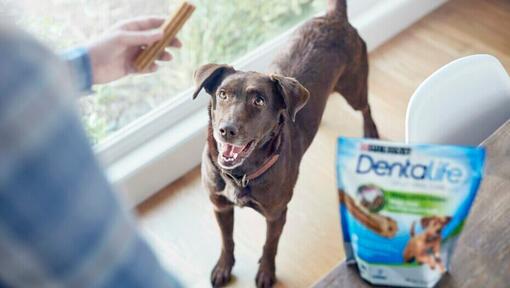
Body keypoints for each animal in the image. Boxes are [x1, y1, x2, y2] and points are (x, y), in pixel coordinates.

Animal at [193, 1, 376, 286]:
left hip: (354, 88)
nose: (226, 130)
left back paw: (370, 130)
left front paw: (267, 273)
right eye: (223, 94)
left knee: (366, 107)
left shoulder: (276, 214)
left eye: (259, 101)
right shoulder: (220, 206)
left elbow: (270, 245)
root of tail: (334, 17)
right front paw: (224, 266)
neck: (241, 175)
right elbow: (226, 239)